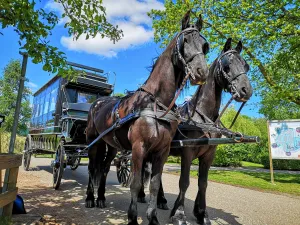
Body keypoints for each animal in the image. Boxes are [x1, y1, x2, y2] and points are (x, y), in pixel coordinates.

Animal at [85, 11, 210, 225]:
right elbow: (135, 184)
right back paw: (90, 198)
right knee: (92, 168)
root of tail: (97, 103)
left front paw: (153, 218)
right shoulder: (139, 147)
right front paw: (133, 218)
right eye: (185, 41)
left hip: (111, 145)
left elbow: (154, 184)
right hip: (94, 142)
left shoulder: (162, 151)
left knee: (104, 168)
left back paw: (101, 197)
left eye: (204, 45)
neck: (155, 103)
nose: (201, 72)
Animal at [139, 37, 252, 224]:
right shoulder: (188, 152)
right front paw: (179, 214)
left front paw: (202, 213)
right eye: (227, 65)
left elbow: (203, 183)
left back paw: (161, 200)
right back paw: (142, 195)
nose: (246, 90)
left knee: (158, 174)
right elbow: (184, 182)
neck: (204, 118)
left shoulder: (209, 155)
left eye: (246, 65)